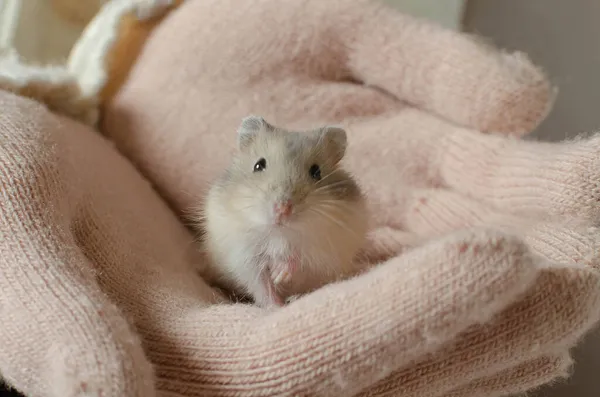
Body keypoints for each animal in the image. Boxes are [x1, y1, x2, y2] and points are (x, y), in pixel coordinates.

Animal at [199, 114, 368, 306]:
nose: (282, 209)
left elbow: (297, 259)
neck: (280, 233)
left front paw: (279, 274)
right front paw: (276, 305)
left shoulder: (320, 249)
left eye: (316, 172)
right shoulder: (246, 256)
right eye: (258, 165)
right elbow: (262, 285)